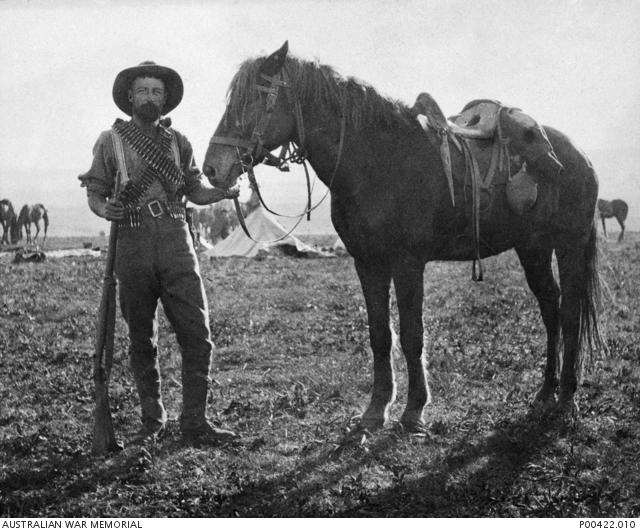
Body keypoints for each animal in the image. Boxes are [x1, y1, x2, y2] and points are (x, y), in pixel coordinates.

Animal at [201, 41, 604, 432]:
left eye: (253, 98)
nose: (211, 169)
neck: (378, 162)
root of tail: (580, 157)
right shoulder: (368, 263)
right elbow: (380, 334)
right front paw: (376, 409)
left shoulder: (408, 263)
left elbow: (412, 334)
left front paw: (414, 410)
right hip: (533, 248)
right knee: (551, 309)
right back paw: (545, 394)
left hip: (568, 246)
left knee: (569, 313)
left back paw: (567, 400)